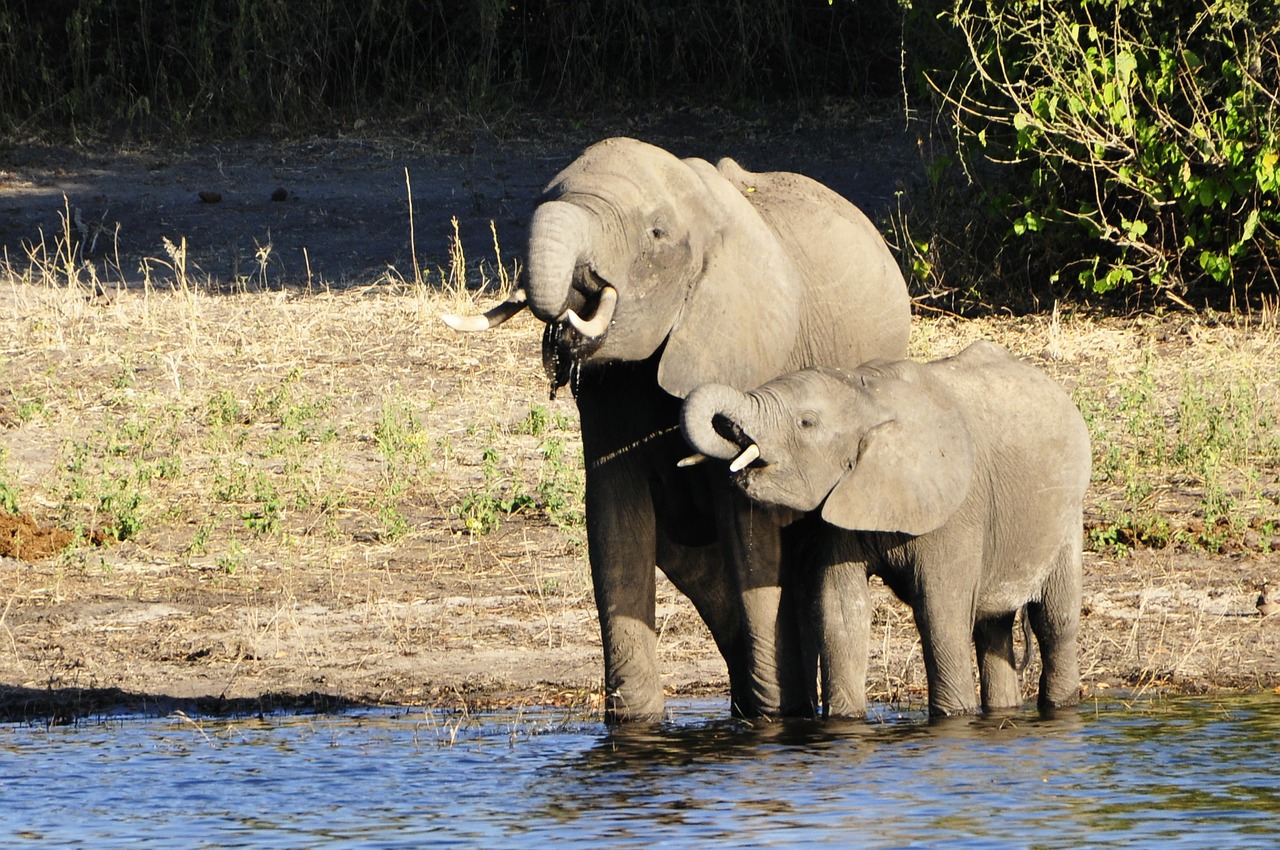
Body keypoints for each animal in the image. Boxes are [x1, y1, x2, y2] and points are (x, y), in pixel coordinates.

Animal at [680, 337, 1090, 716]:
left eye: (806, 422)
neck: (870, 396)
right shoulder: (843, 502)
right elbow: (842, 610)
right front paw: (844, 721)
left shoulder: (957, 508)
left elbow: (941, 612)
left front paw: (954, 716)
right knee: (993, 627)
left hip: (1068, 513)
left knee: (1055, 619)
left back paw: (1059, 706)